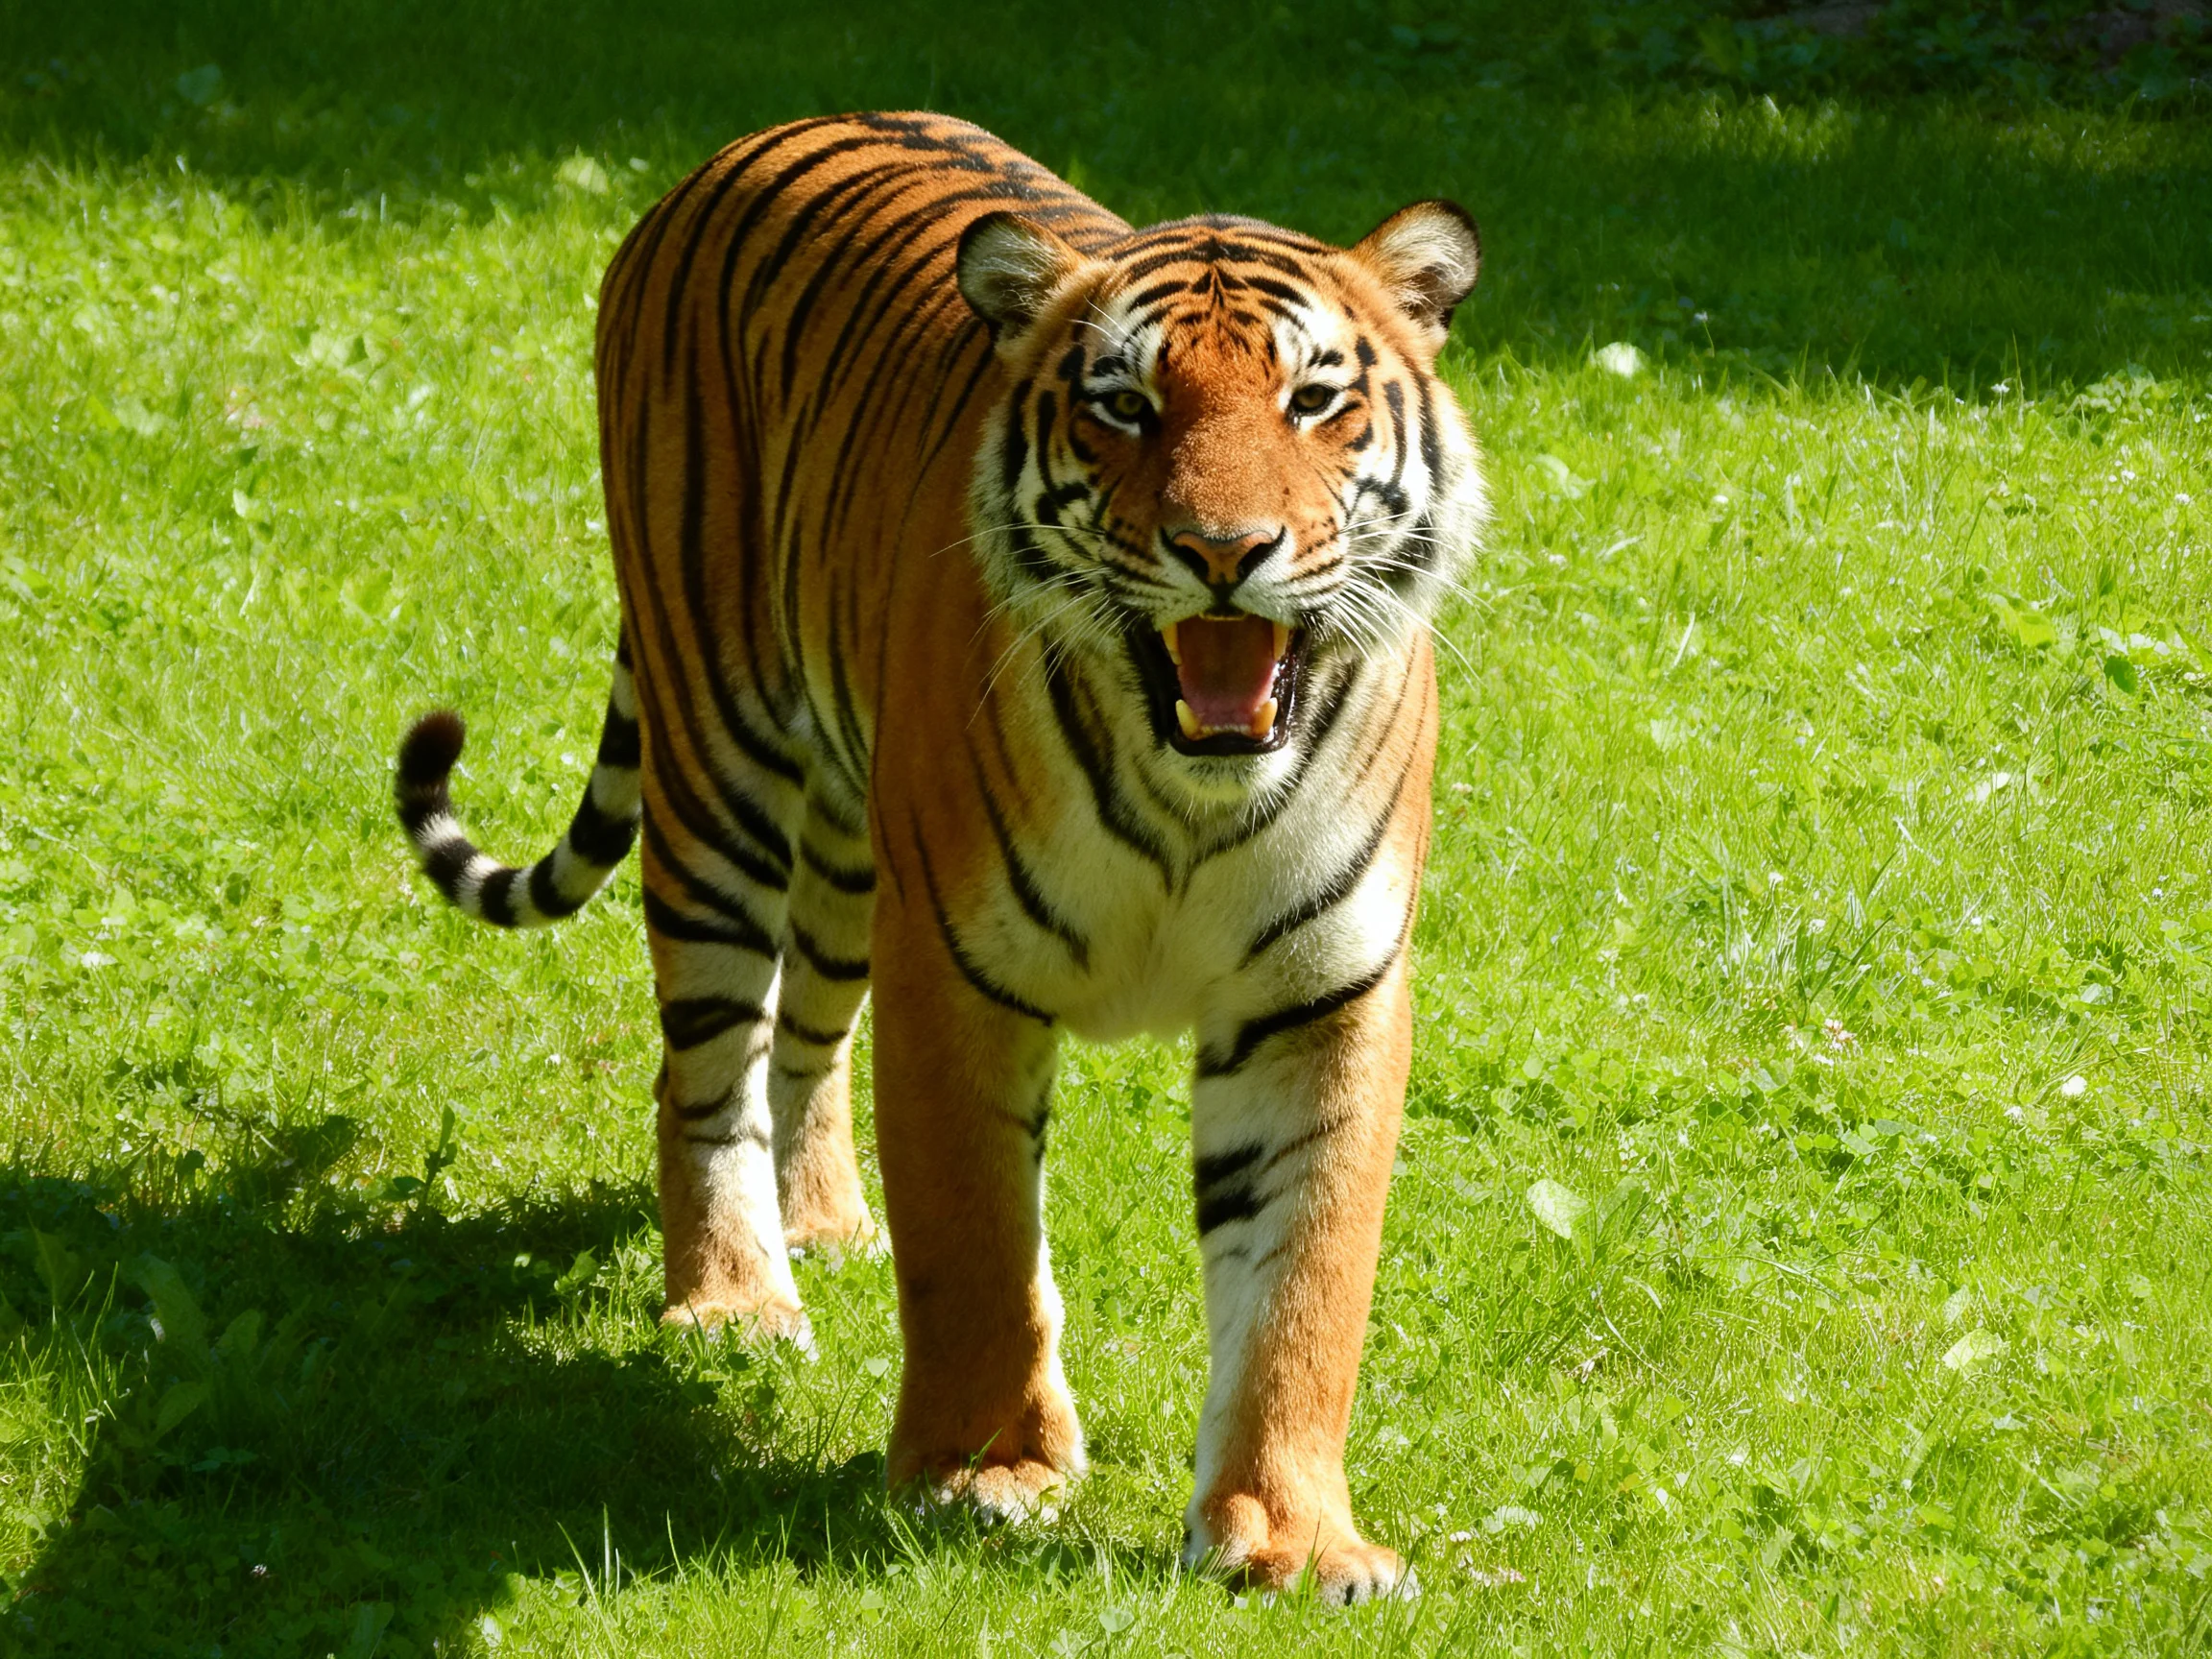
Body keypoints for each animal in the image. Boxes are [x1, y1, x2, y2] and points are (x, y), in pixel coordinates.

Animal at [393, 111, 1485, 1602]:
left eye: (1315, 400)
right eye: (1125, 404)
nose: (1225, 552)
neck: (1190, 792)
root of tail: (745, 144)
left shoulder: (1322, 995)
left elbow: (1305, 1285)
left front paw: (1292, 1535)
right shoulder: (961, 970)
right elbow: (975, 1238)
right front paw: (985, 1472)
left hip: (854, 849)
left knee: (804, 1039)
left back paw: (826, 1224)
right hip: (720, 765)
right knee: (707, 1064)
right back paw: (734, 1296)